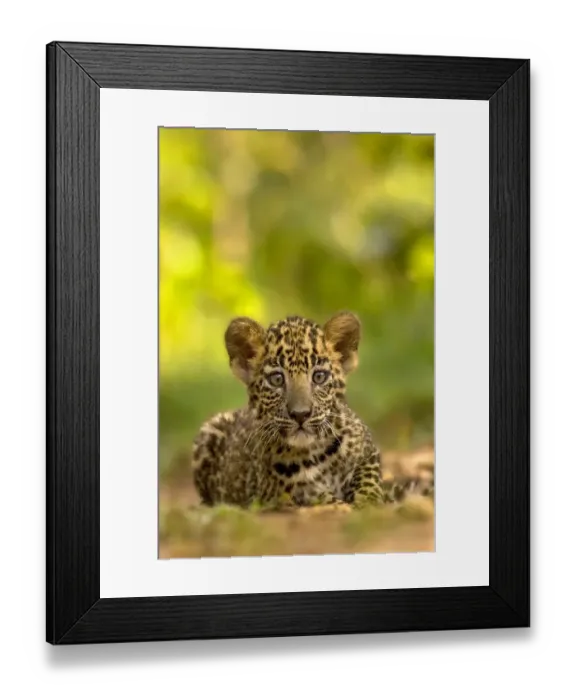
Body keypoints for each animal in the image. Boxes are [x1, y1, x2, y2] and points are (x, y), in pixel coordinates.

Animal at [191, 311, 433, 511]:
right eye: (277, 379)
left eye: (319, 377)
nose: (300, 414)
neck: (318, 451)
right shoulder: (280, 491)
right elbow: (318, 497)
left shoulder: (368, 451)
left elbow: (368, 481)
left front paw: (369, 501)